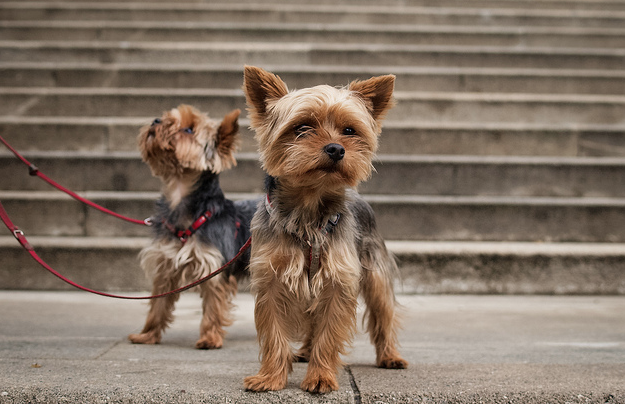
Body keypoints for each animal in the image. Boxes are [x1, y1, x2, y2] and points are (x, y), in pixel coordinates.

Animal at [128, 105, 255, 350]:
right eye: (167, 117)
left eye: (188, 129)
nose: (156, 120)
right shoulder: (165, 267)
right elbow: (157, 305)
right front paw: (147, 335)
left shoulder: (213, 268)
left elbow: (213, 307)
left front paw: (209, 339)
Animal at [241, 67, 408, 394]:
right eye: (302, 127)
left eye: (349, 131)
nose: (336, 149)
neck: (308, 210)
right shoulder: (270, 278)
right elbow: (274, 333)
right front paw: (270, 377)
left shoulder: (339, 280)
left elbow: (328, 333)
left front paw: (320, 377)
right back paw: (305, 351)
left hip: (376, 273)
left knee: (384, 313)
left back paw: (390, 356)